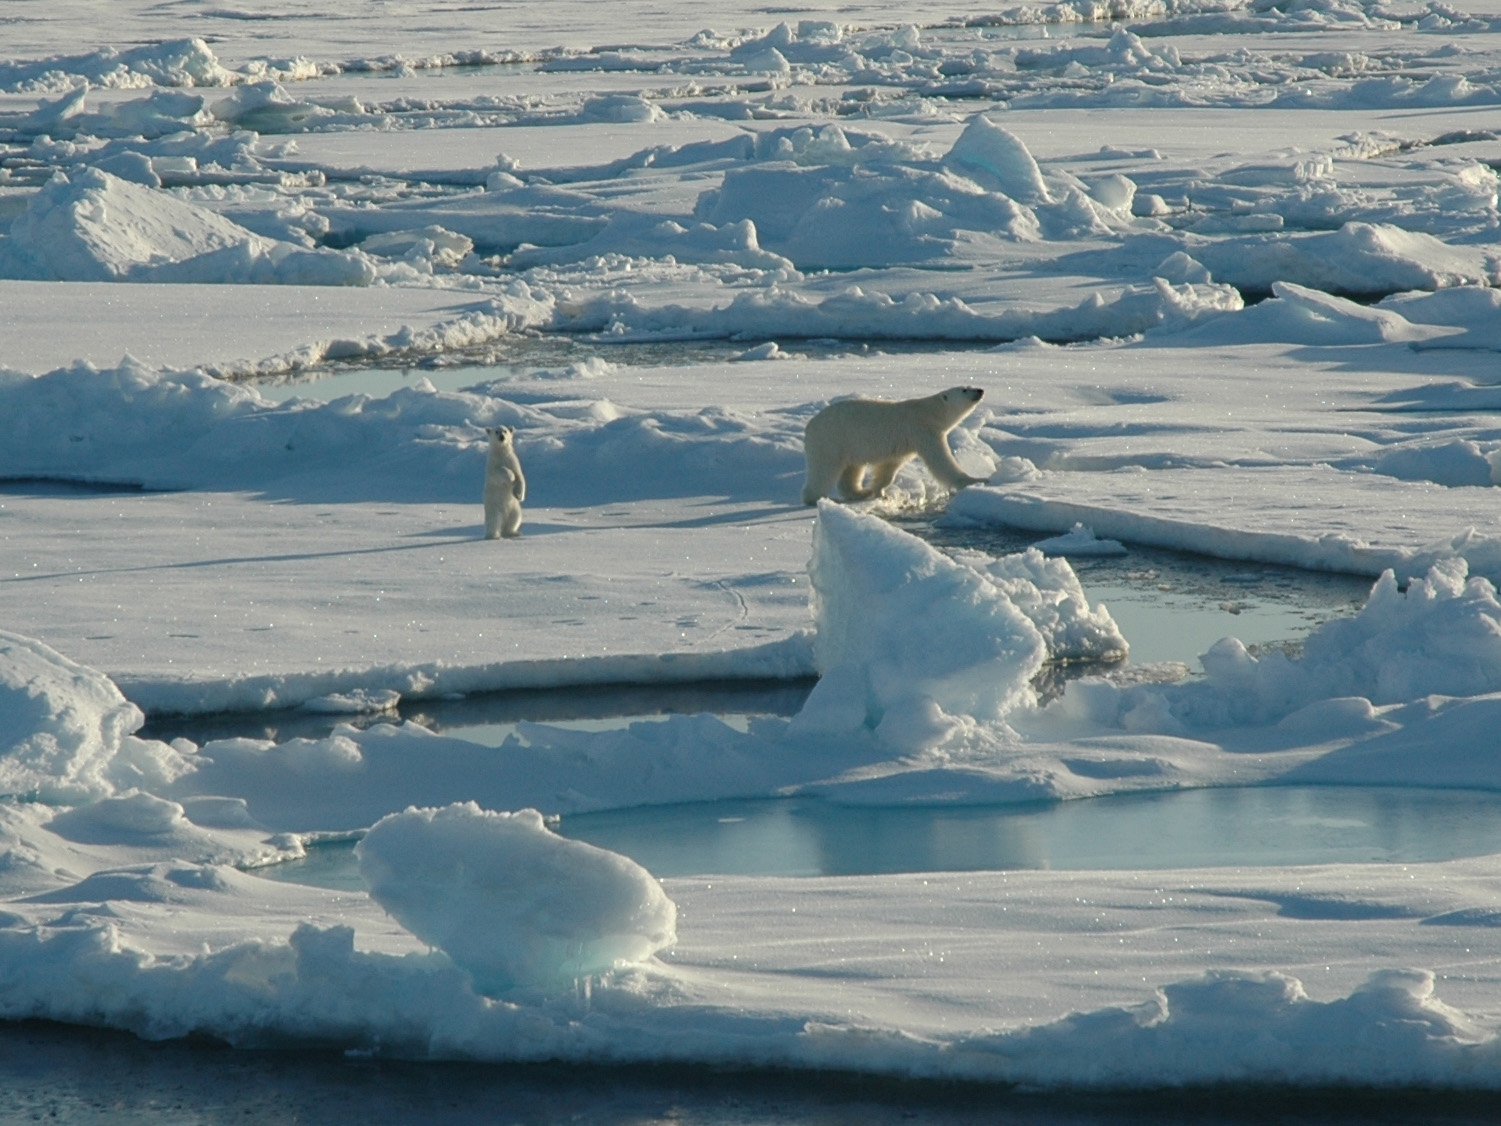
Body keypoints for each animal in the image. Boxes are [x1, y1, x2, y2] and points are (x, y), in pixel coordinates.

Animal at [804, 387, 990, 504]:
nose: (980, 390)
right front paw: (976, 480)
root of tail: (810, 425)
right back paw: (816, 498)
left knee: (852, 469)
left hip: (849, 445)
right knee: (824, 469)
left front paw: (878, 491)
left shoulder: (903, 444)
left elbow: (889, 467)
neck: (930, 411)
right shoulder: (923, 430)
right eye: (964, 389)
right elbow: (941, 461)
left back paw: (860, 492)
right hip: (831, 440)